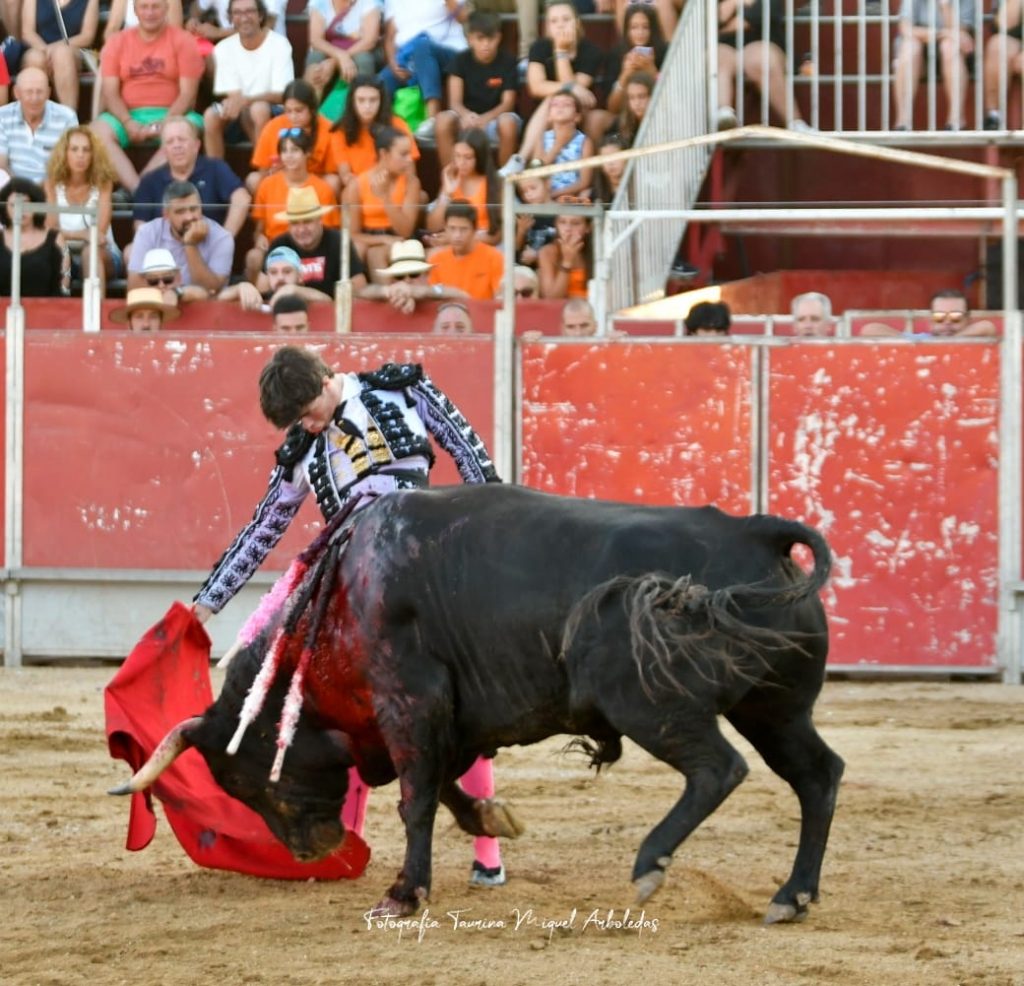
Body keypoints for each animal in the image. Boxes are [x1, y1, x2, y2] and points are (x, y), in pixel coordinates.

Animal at [116, 485, 843, 925]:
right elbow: (443, 787)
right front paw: (492, 818)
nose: (308, 852)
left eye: (254, 778)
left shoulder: (410, 701)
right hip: (776, 708)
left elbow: (415, 797)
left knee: (719, 769)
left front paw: (403, 894)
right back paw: (792, 896)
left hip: (651, 702)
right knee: (817, 774)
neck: (340, 599)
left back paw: (650, 866)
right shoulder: (448, 716)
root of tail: (754, 533)